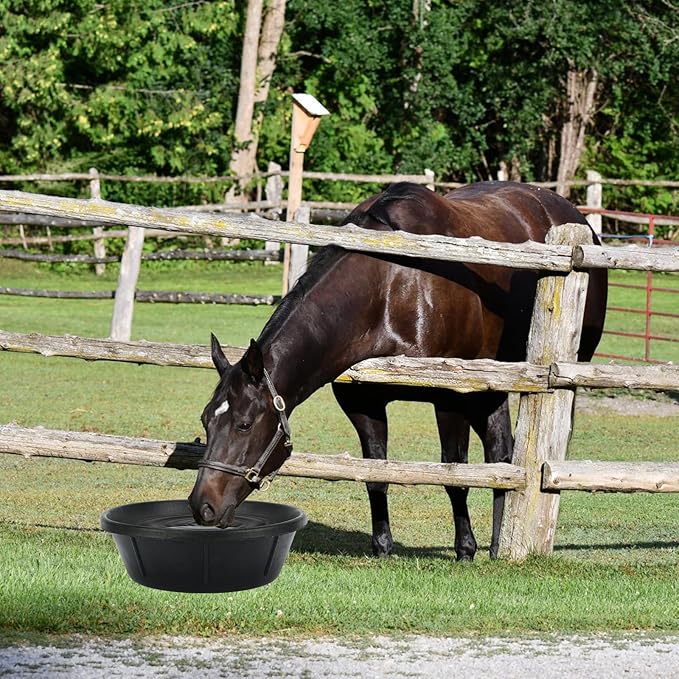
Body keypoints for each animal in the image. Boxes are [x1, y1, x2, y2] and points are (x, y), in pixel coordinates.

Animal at [189, 181, 608, 561]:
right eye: (206, 420)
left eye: (244, 424)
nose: (202, 506)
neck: (390, 286)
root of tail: (575, 219)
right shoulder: (363, 402)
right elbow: (377, 475)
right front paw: (383, 547)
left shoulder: (449, 397)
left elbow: (454, 475)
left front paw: (464, 549)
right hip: (489, 389)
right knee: (501, 454)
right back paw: (497, 543)